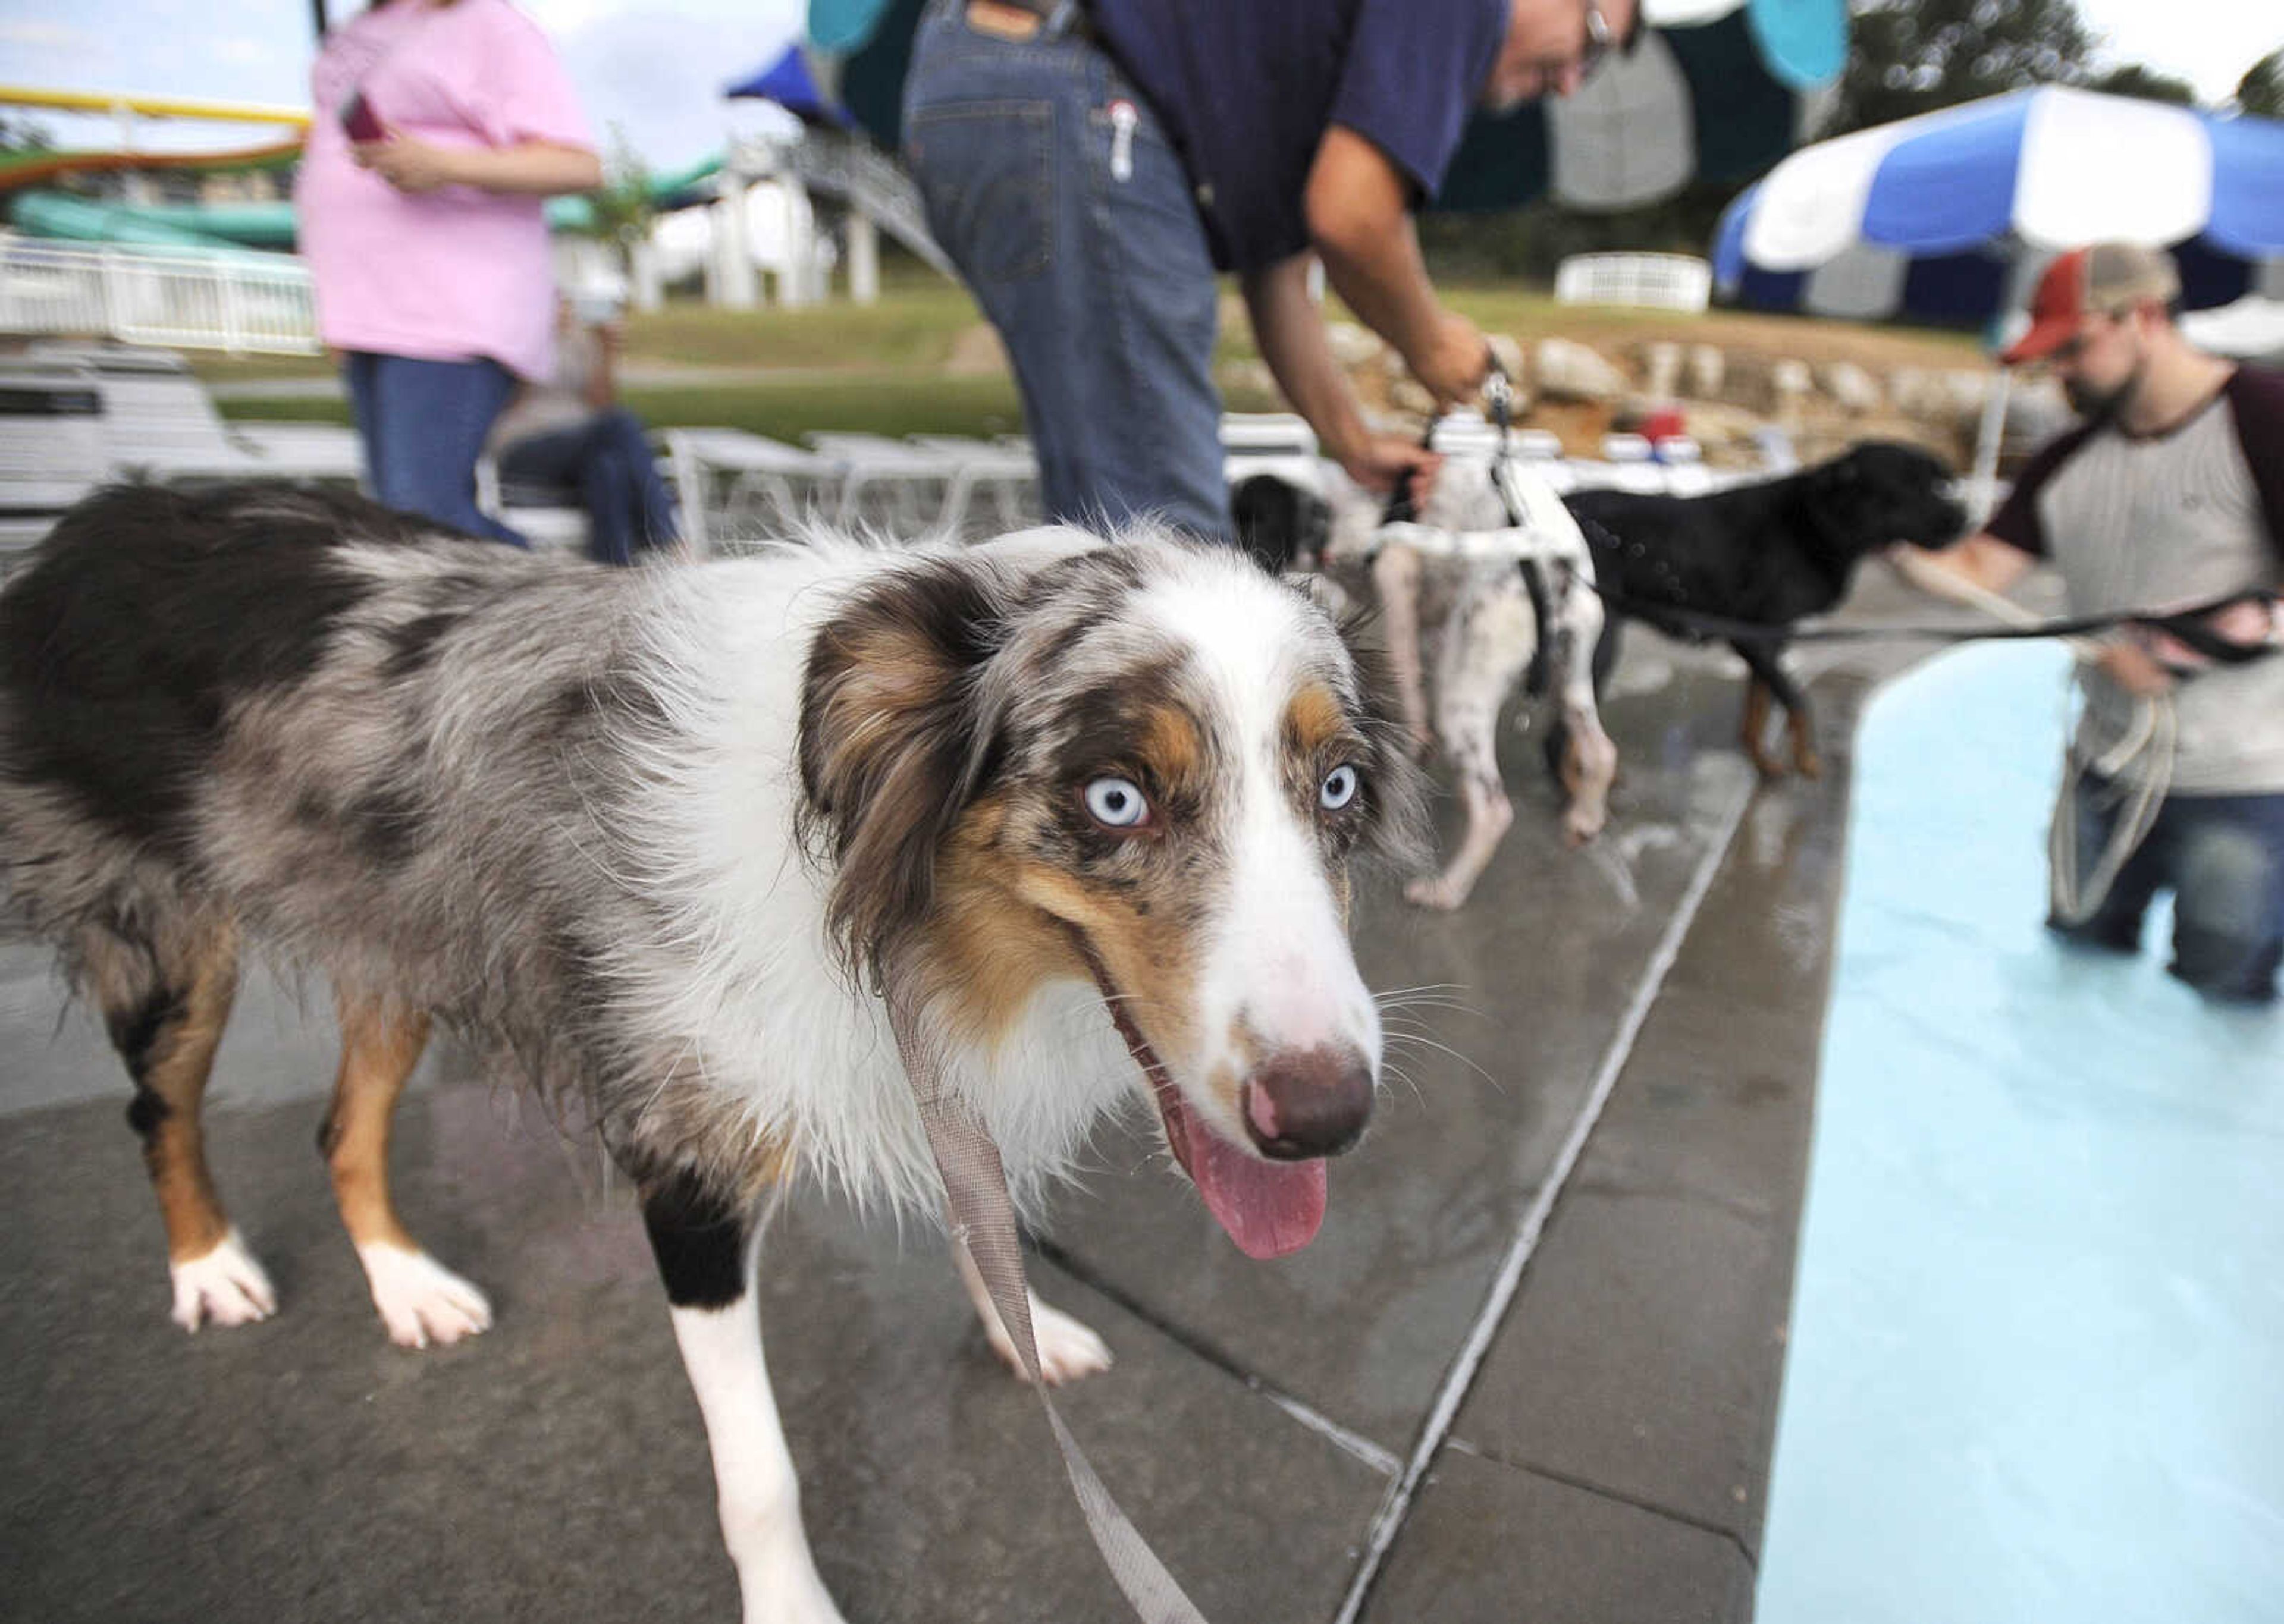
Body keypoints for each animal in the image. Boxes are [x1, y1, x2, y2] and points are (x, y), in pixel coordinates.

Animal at [0, 486, 1425, 1624]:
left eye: (1338, 787)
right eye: (1115, 798)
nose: (1328, 1116)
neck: (897, 897)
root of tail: (98, 518)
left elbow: (981, 1228)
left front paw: (1025, 1332)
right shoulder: (686, 1164)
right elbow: (760, 1473)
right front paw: (793, 1607)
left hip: (399, 934)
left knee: (340, 1123)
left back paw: (405, 1283)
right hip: (170, 940)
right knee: (161, 1114)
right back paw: (211, 1267)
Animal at [1571, 441, 1964, 776]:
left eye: (1941, 483)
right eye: (1915, 487)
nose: (1967, 522)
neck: (1815, 525)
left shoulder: (1768, 643)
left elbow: (1758, 708)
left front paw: (1763, 760)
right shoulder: (1753, 642)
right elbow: (1798, 702)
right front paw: (1807, 759)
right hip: (1600, 649)